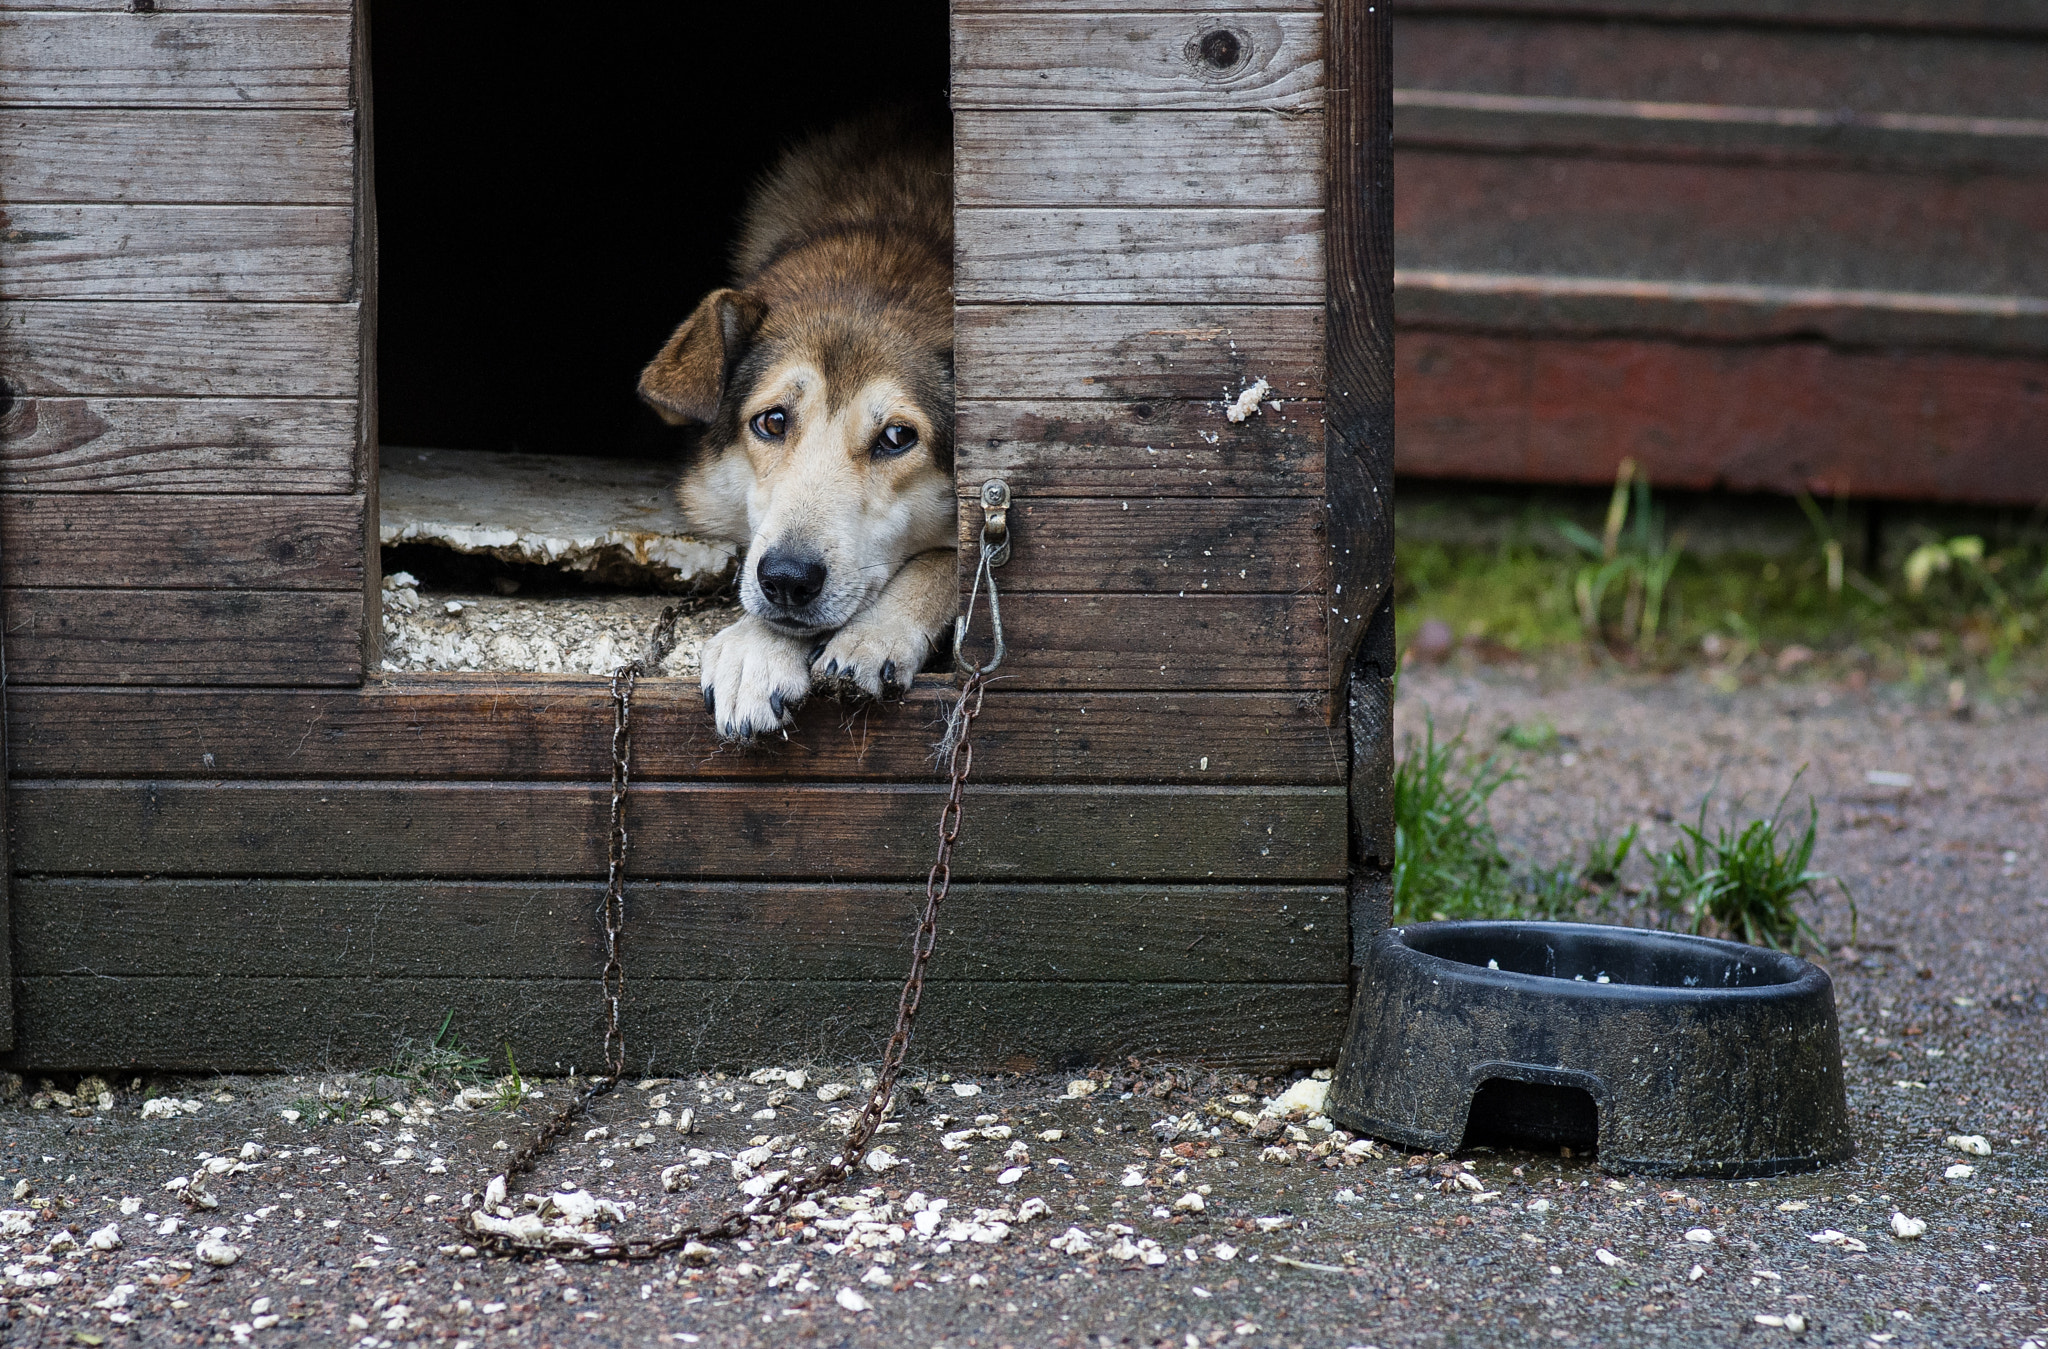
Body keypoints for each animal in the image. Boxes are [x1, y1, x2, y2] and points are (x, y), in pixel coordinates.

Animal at [638, 111, 958, 745]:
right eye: (773, 421)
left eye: (897, 437)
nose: (787, 579)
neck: (888, 232)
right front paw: (755, 650)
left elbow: (950, 560)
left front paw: (875, 633)